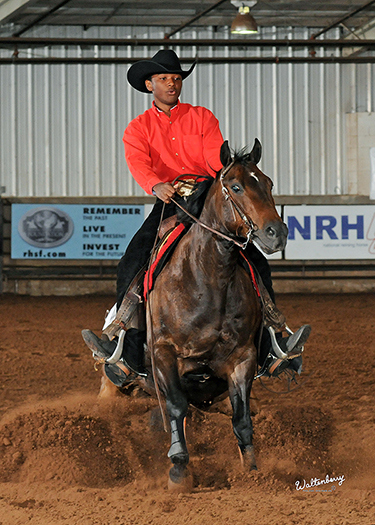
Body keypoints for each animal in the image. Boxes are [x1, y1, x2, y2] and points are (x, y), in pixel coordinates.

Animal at [141, 138, 288, 488]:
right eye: (235, 186)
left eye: (268, 183)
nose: (276, 232)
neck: (206, 280)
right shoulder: (164, 353)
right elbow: (176, 406)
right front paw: (178, 468)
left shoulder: (243, 357)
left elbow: (242, 416)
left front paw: (252, 472)